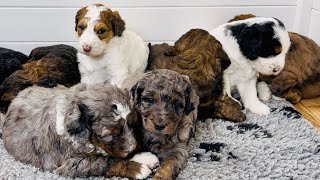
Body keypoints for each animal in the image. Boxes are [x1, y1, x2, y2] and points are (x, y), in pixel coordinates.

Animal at [1, 83, 159, 179]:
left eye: (132, 124)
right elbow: (107, 160)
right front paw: (138, 169)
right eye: (110, 134)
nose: (131, 148)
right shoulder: (69, 164)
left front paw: (143, 156)